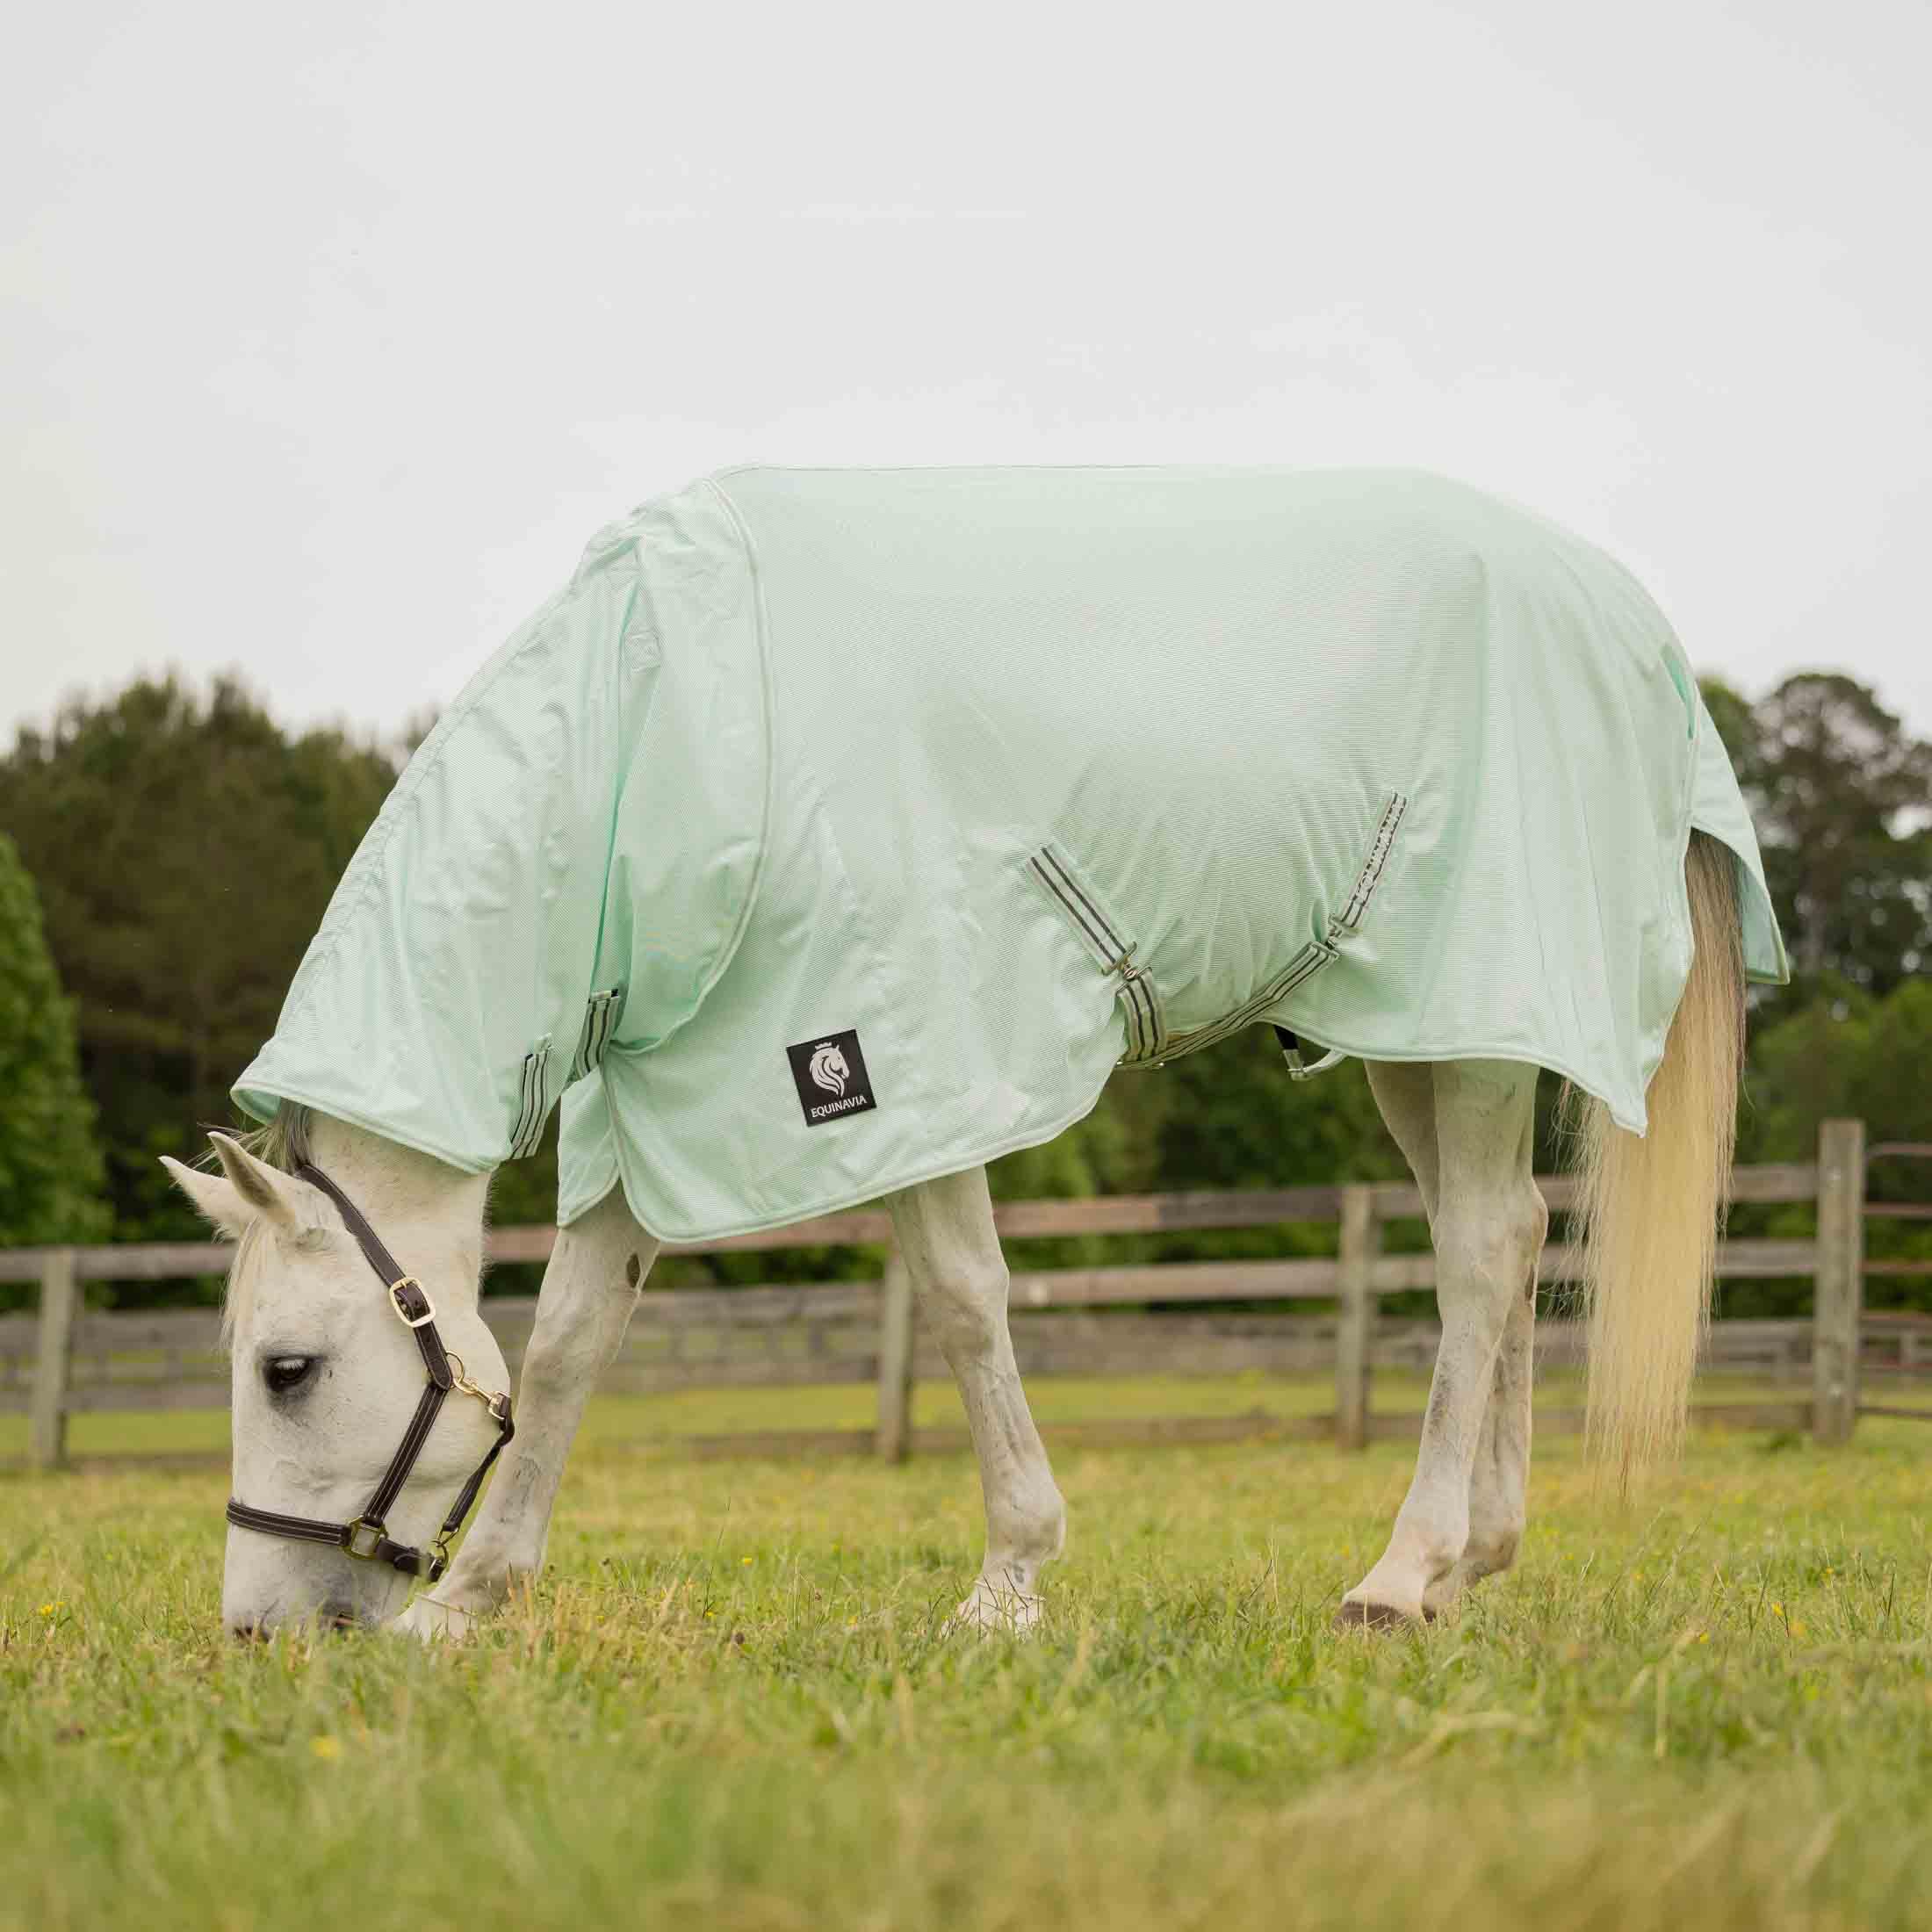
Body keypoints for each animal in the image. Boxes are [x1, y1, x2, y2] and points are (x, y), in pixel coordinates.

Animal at [162, 465, 1784, 1636]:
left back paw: (1400, 1575)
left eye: (289, 1371)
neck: (671, 717)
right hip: (1422, 1037)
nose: (257, 1633)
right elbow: (565, 1341)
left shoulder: (887, 1057)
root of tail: (1629, 618)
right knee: (1503, 1241)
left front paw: (1008, 1580)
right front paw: (476, 1606)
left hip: (1481, 1016)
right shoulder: (664, 1088)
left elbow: (960, 1300)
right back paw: (1470, 1562)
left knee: (1482, 1253)